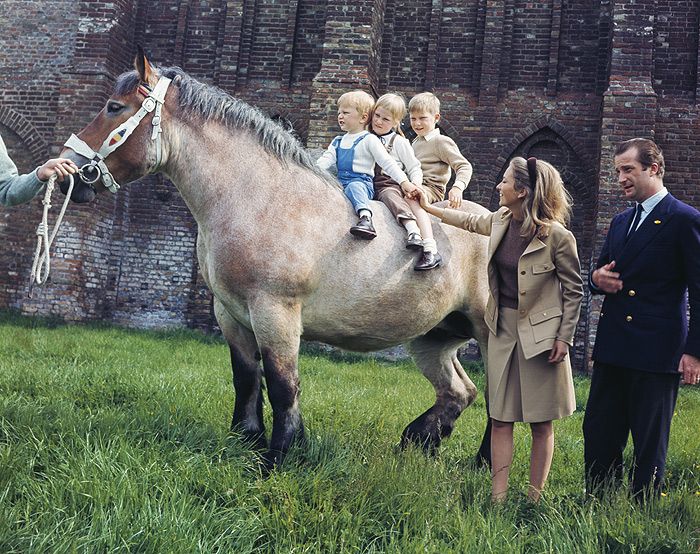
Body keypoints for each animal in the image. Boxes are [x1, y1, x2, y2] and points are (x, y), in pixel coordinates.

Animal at [60, 49, 492, 468]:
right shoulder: (230, 314)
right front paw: (246, 439)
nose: (66, 171)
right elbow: (247, 378)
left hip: (487, 336)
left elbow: (283, 385)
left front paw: (279, 458)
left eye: (114, 107)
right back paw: (418, 442)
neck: (260, 197)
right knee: (460, 391)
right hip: (434, 338)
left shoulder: (275, 313)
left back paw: (482, 463)